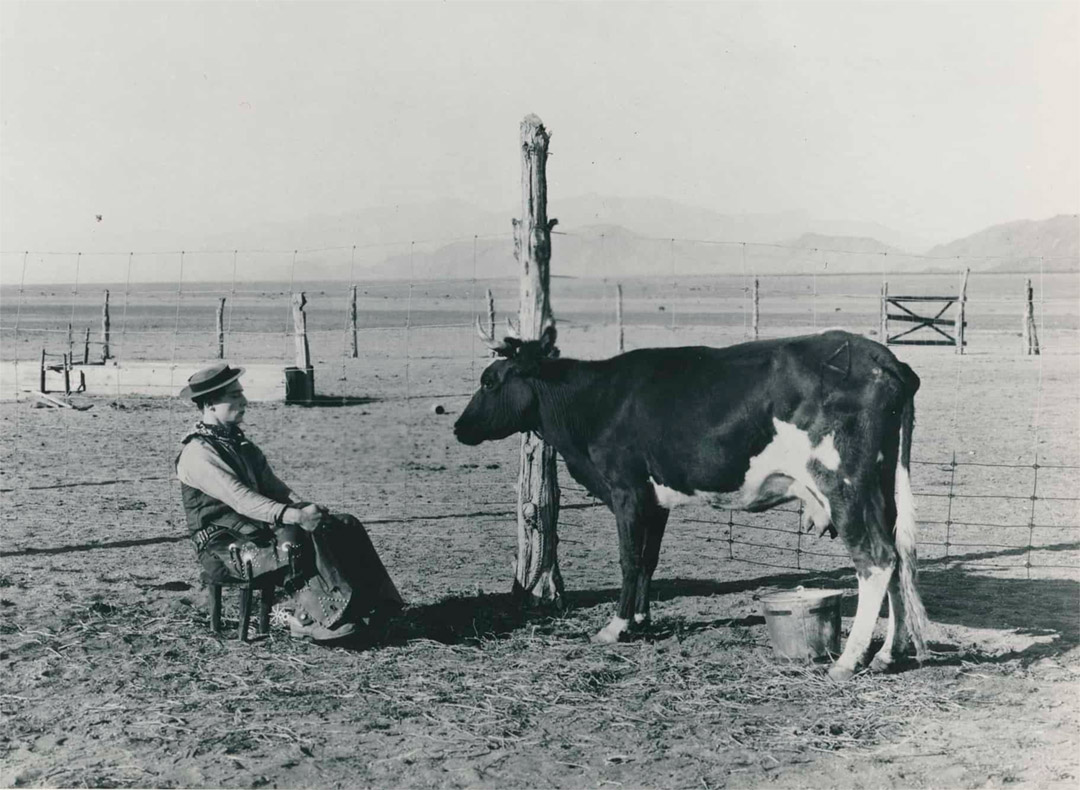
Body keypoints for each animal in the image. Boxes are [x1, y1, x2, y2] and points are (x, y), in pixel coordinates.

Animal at [453, 328, 928, 678]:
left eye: (490, 381)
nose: (459, 426)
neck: (599, 401)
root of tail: (880, 356)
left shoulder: (626, 490)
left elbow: (629, 559)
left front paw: (615, 627)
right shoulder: (655, 500)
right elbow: (649, 561)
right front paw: (641, 620)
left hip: (843, 485)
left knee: (876, 559)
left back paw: (848, 662)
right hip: (883, 485)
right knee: (898, 558)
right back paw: (887, 654)